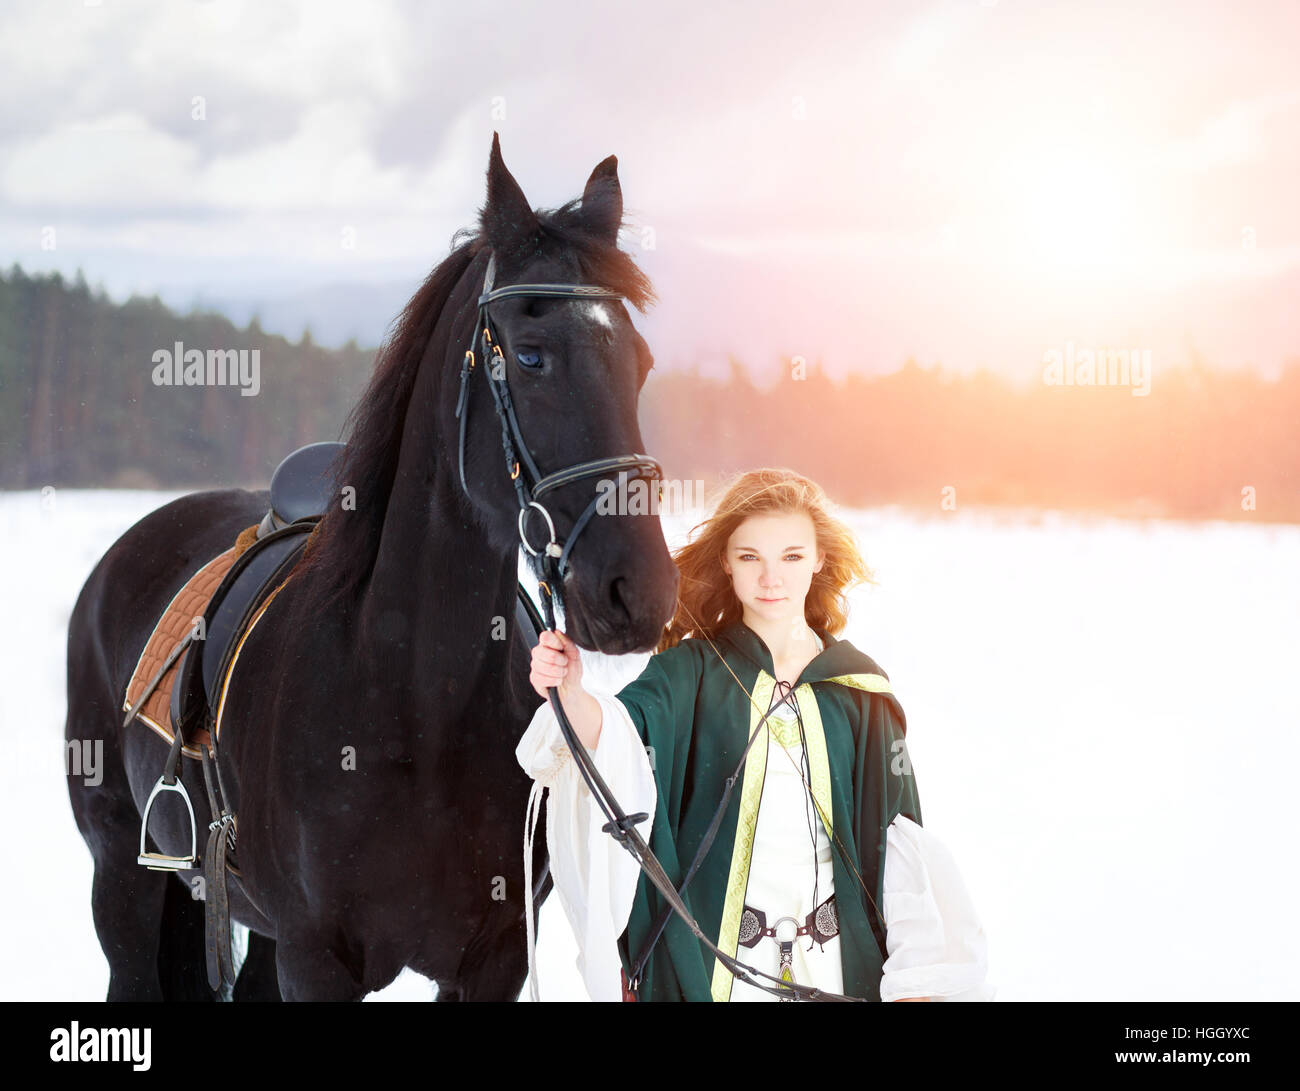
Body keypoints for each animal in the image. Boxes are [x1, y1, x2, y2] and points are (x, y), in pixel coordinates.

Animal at [64, 138, 676, 1009]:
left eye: (641, 362)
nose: (639, 593)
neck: (413, 702)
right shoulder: (316, 960)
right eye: (531, 356)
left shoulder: (491, 961)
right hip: (122, 876)